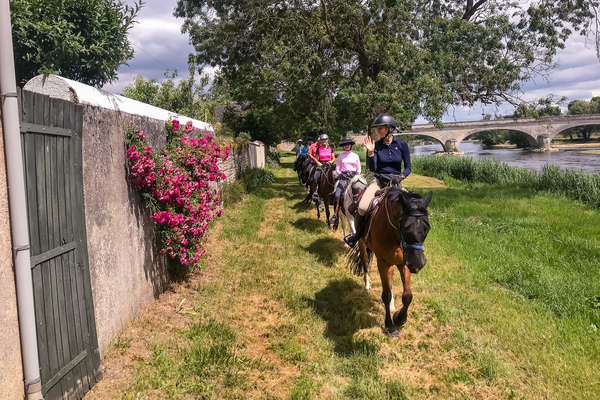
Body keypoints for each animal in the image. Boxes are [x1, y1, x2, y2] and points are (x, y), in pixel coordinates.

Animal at [346, 186, 432, 336]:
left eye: (426, 228)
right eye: (405, 227)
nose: (417, 264)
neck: (394, 235)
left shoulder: (404, 263)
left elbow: (407, 295)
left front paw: (399, 318)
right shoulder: (382, 262)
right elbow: (385, 295)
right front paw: (390, 325)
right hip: (362, 243)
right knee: (365, 264)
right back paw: (367, 286)